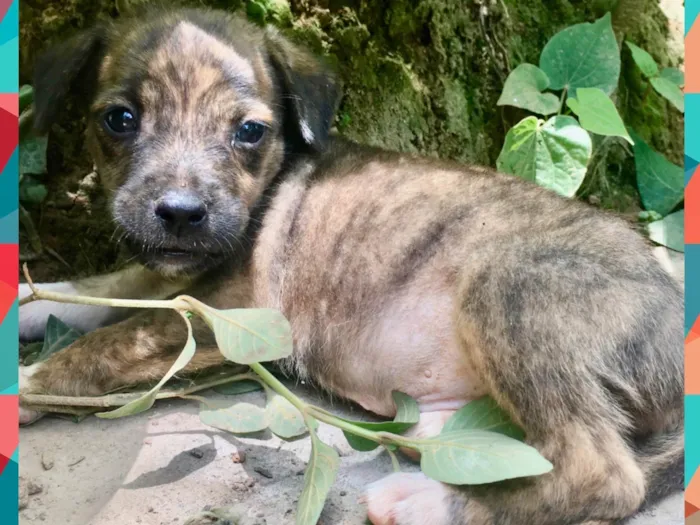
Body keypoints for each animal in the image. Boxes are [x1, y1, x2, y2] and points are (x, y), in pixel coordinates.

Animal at [20, 8, 684, 524]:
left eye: (249, 131)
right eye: (119, 119)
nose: (181, 214)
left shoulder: (229, 310)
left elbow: (102, 345)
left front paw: (22, 386)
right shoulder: (171, 275)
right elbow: (95, 291)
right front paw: (27, 303)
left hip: (515, 286)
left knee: (604, 475)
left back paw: (425, 502)